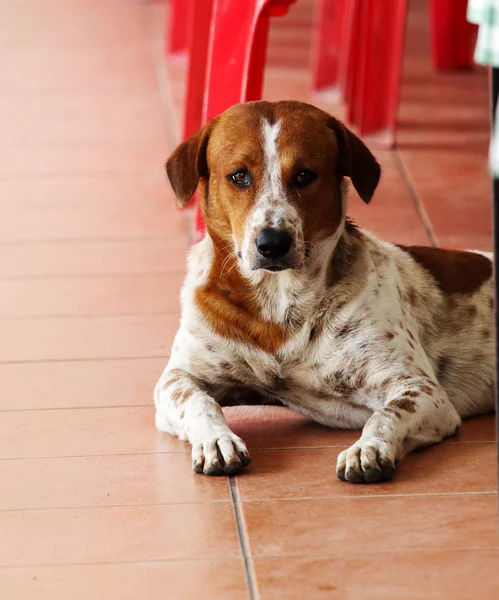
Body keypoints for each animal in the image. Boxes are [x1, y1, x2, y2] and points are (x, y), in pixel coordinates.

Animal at [154, 98, 498, 482]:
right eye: (239, 175)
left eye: (305, 175)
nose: (272, 243)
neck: (279, 308)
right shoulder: (180, 377)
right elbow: (201, 401)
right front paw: (217, 440)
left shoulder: (419, 389)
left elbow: (386, 414)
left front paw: (368, 449)